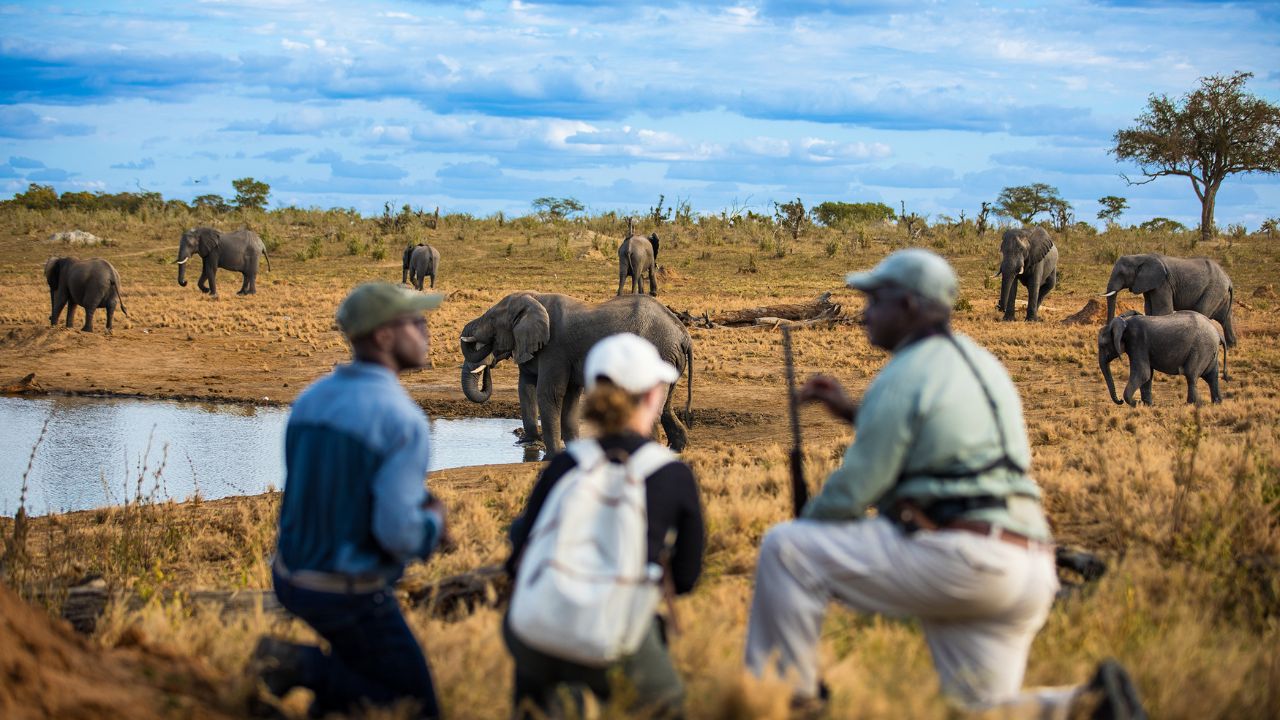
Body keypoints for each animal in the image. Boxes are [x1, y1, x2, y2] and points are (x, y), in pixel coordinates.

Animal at [459, 292, 693, 453]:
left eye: (491, 321)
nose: (488, 364)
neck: (533, 299)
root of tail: (683, 334)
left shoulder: (555, 349)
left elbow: (549, 394)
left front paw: (550, 455)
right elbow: (532, 389)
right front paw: (532, 443)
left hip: (658, 354)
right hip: (669, 359)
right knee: (666, 406)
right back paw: (677, 449)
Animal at [1098, 311, 1227, 406]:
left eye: (1103, 345)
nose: (1119, 400)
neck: (1125, 322)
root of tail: (1218, 333)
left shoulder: (1137, 342)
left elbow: (1143, 373)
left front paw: (1137, 404)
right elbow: (1148, 375)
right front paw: (1147, 405)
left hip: (1201, 348)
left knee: (1191, 374)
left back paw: (1191, 404)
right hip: (1209, 351)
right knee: (1211, 376)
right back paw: (1217, 403)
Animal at [1102, 253, 1236, 347]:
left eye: (1121, 274)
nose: (1107, 331)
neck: (1141, 257)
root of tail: (1229, 280)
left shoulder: (1163, 283)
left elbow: (1162, 310)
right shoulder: (1149, 284)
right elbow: (1149, 308)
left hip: (1214, 289)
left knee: (1202, 310)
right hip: (1221, 293)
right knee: (1225, 318)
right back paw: (1232, 346)